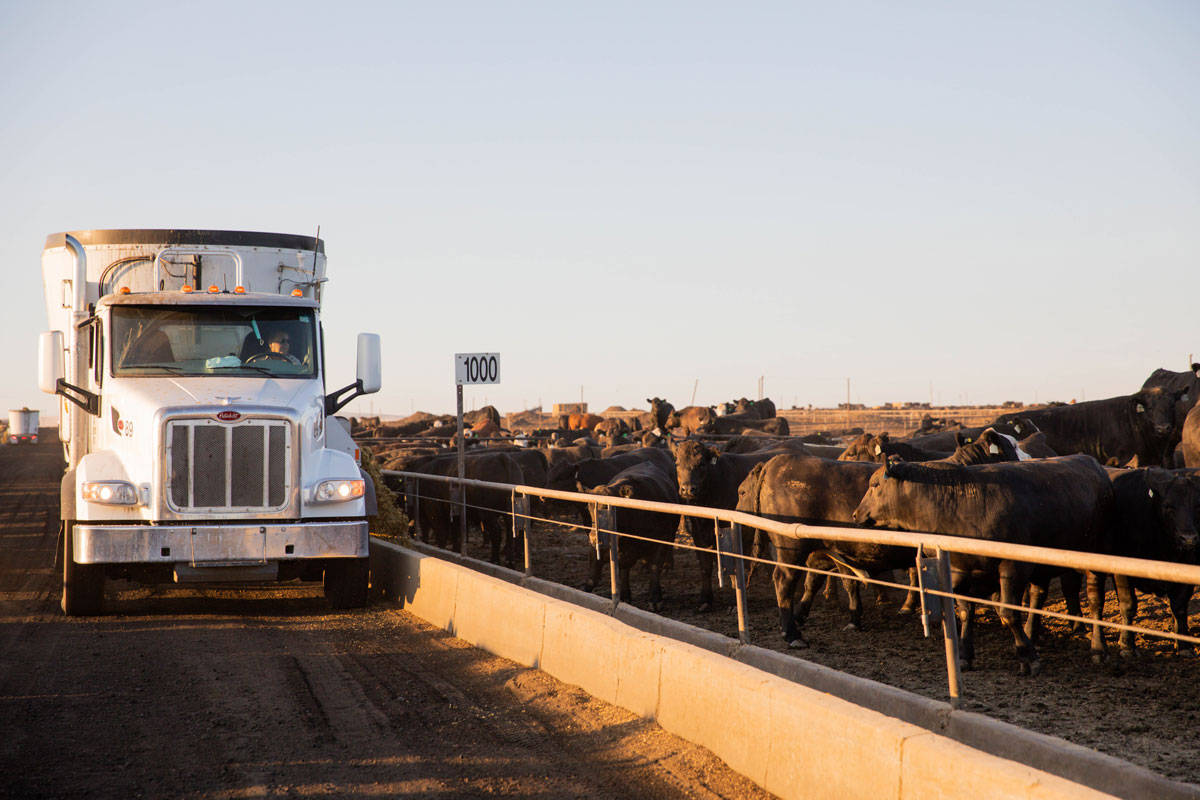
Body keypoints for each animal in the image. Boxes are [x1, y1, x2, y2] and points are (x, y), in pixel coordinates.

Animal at [854, 455, 1113, 676]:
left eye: (875, 485)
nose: (856, 514)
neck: (958, 505)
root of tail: (1092, 463)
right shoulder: (960, 572)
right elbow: (966, 613)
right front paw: (965, 655)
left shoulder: (1012, 567)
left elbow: (1009, 613)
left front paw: (1028, 658)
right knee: (1038, 595)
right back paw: (1031, 635)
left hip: (1097, 552)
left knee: (1094, 598)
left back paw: (1098, 649)